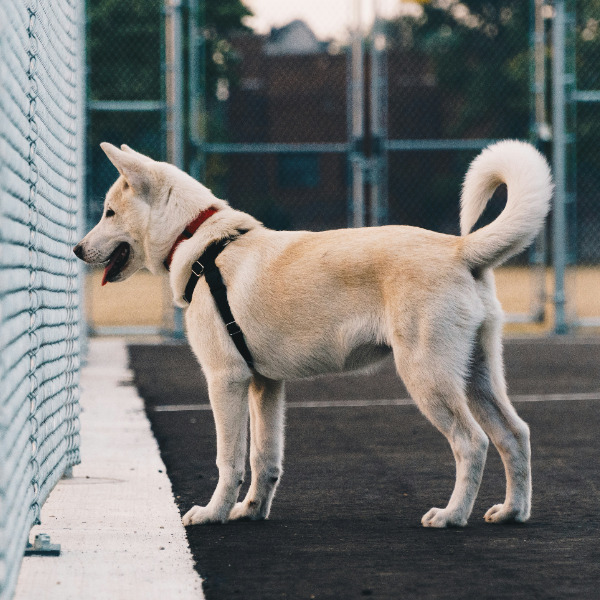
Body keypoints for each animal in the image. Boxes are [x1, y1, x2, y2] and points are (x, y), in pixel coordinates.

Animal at [75, 143, 552, 528]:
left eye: (109, 212)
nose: (76, 250)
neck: (200, 243)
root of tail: (459, 249)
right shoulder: (265, 385)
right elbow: (264, 458)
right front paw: (250, 511)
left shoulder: (226, 380)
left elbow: (229, 460)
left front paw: (213, 513)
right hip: (477, 377)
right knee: (516, 435)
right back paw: (512, 512)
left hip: (428, 377)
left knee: (472, 443)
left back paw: (452, 515)